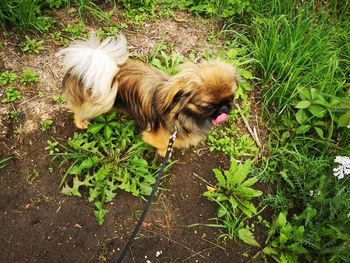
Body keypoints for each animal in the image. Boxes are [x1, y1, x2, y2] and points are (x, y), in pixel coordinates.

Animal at [58, 34, 239, 156]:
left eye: (232, 98)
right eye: (207, 106)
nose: (225, 108)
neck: (182, 114)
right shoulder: (157, 136)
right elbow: (163, 146)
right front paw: (164, 153)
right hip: (97, 102)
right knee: (79, 110)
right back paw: (81, 121)